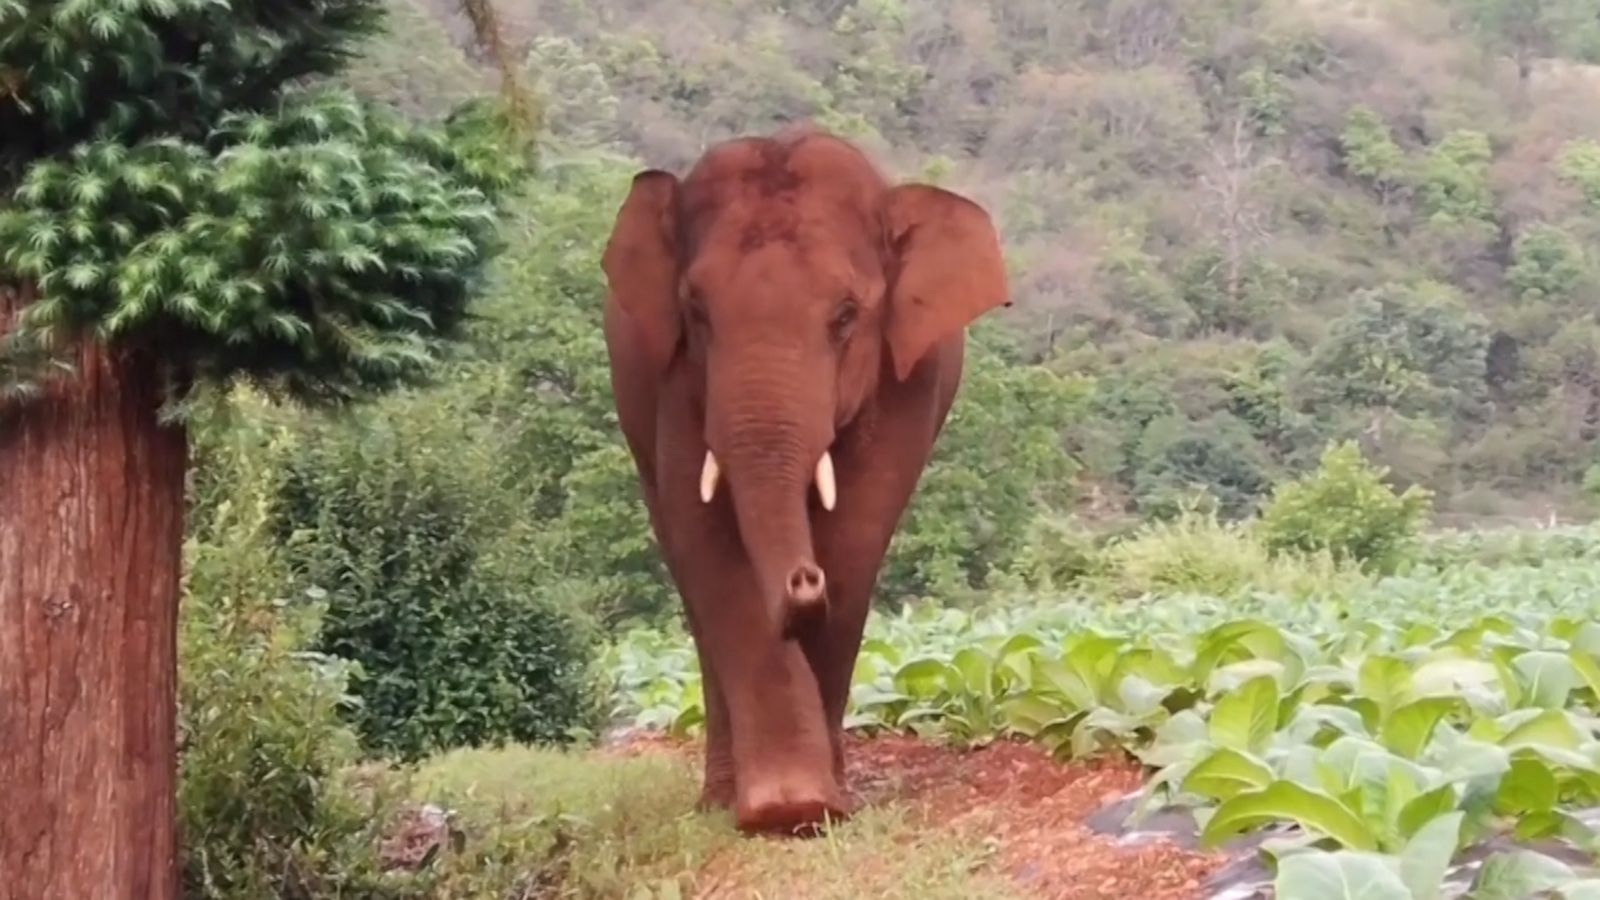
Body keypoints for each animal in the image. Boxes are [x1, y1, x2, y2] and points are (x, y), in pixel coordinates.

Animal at [601, 122, 1011, 832]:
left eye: (846, 315)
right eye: (696, 310)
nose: (802, 577)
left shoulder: (909, 378)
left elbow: (858, 533)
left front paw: (817, 807)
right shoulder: (676, 380)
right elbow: (707, 536)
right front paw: (783, 808)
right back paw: (719, 800)